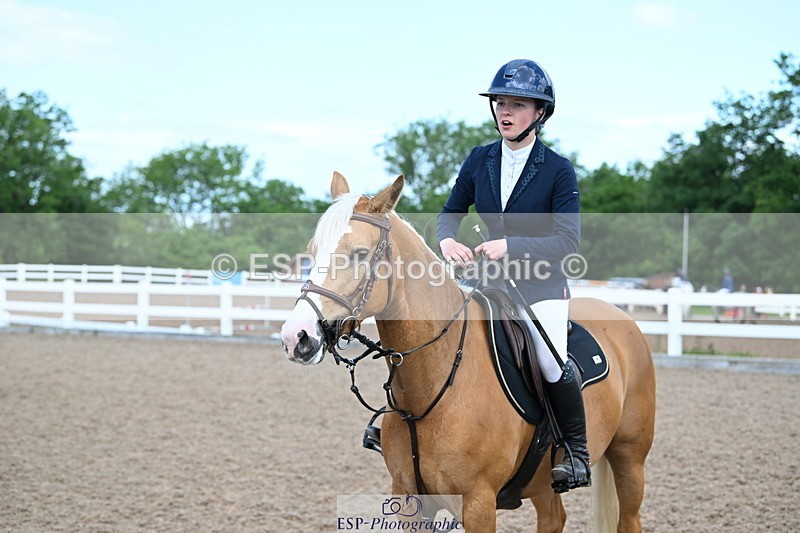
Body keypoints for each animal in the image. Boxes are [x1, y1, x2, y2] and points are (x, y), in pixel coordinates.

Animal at [280, 172, 656, 532]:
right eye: (312, 251)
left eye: (359, 253)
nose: (295, 337)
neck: (432, 385)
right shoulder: (408, 499)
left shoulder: (478, 504)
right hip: (544, 483)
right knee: (553, 520)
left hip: (630, 457)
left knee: (629, 519)